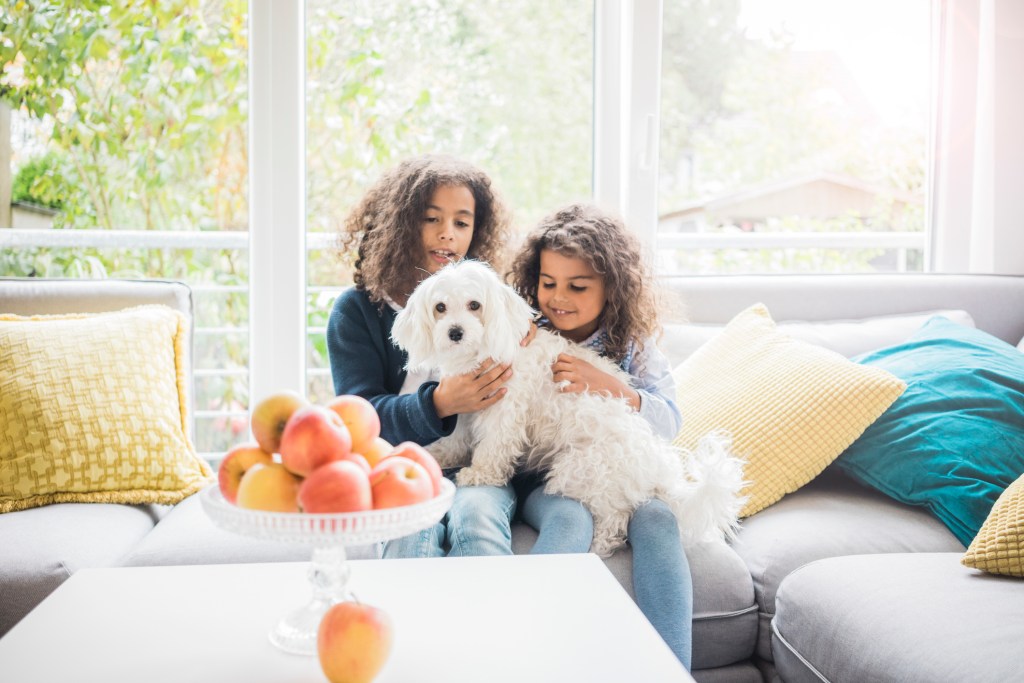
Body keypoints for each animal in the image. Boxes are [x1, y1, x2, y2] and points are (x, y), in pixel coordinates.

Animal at [391, 260, 745, 557]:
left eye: (474, 305)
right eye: (440, 307)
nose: (455, 332)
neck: (481, 354)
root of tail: (658, 466)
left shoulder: (503, 413)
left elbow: (492, 449)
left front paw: (479, 474)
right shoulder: (466, 409)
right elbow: (453, 442)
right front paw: (433, 455)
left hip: (579, 471)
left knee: (615, 518)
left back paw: (599, 547)